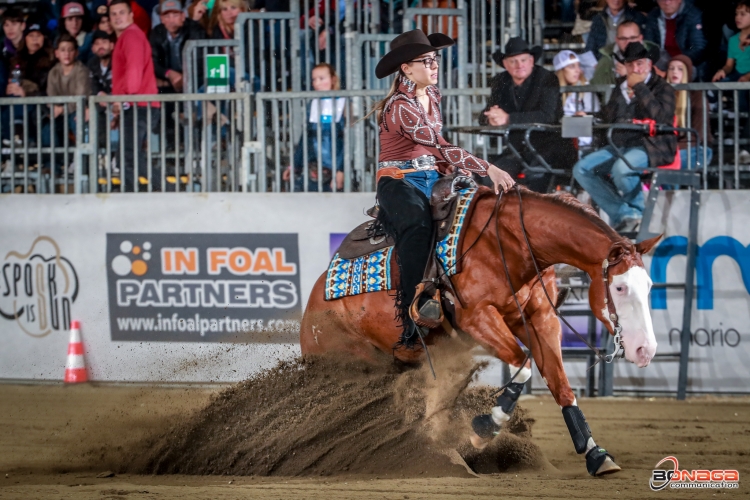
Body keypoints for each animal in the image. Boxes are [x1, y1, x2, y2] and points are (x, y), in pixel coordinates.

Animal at [302, 186, 660, 474]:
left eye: (649, 285)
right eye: (620, 288)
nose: (646, 350)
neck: (512, 242)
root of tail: (312, 311)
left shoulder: (541, 318)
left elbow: (560, 384)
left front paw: (596, 455)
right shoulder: (478, 319)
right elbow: (523, 367)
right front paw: (485, 427)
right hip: (354, 365)